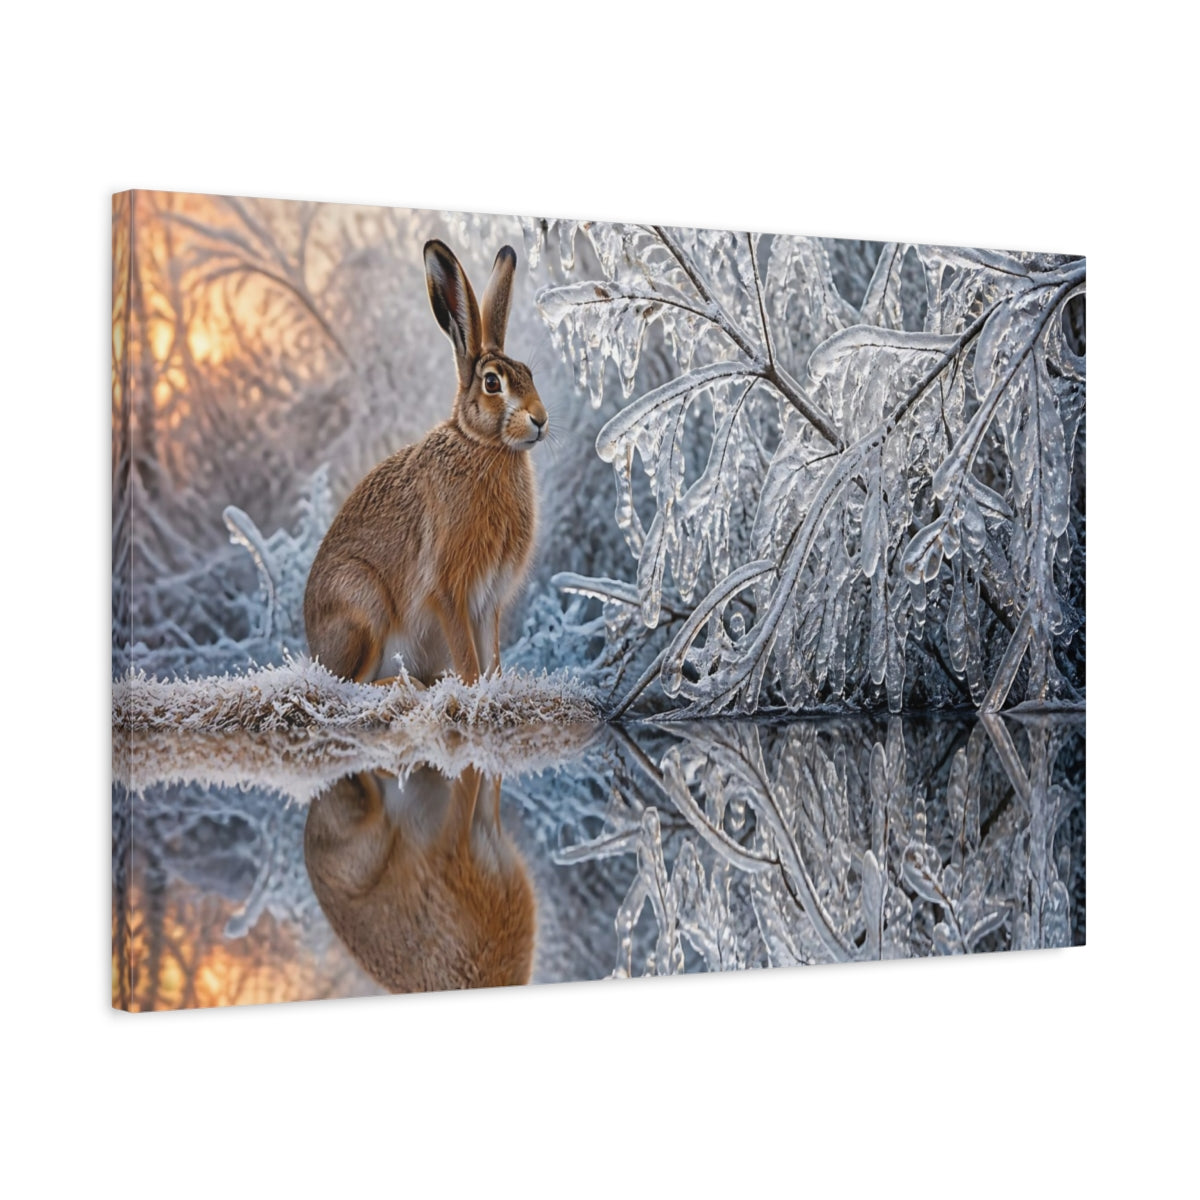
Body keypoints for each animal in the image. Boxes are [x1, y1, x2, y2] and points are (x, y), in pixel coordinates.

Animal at [304, 239, 548, 685]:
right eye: (492, 383)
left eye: (529, 374)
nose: (540, 419)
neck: (482, 445)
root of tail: (316, 651)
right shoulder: (448, 590)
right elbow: (467, 657)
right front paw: (470, 688)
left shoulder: (487, 602)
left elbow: (491, 657)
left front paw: (494, 686)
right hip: (363, 606)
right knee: (348, 685)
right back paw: (406, 683)